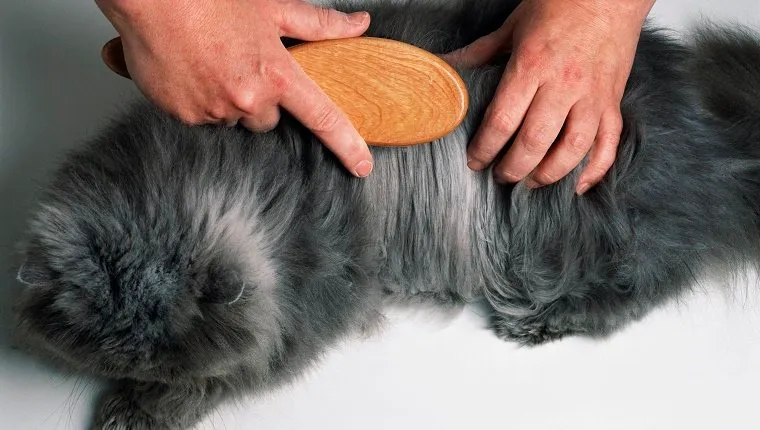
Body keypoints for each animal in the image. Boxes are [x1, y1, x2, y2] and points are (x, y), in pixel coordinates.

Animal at [8, 0, 760, 428]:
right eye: (115, 336)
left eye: (158, 340)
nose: (130, 356)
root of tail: (708, 142)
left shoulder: (306, 301)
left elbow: (226, 374)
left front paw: (134, 409)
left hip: (573, 220)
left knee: (647, 283)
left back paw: (539, 318)